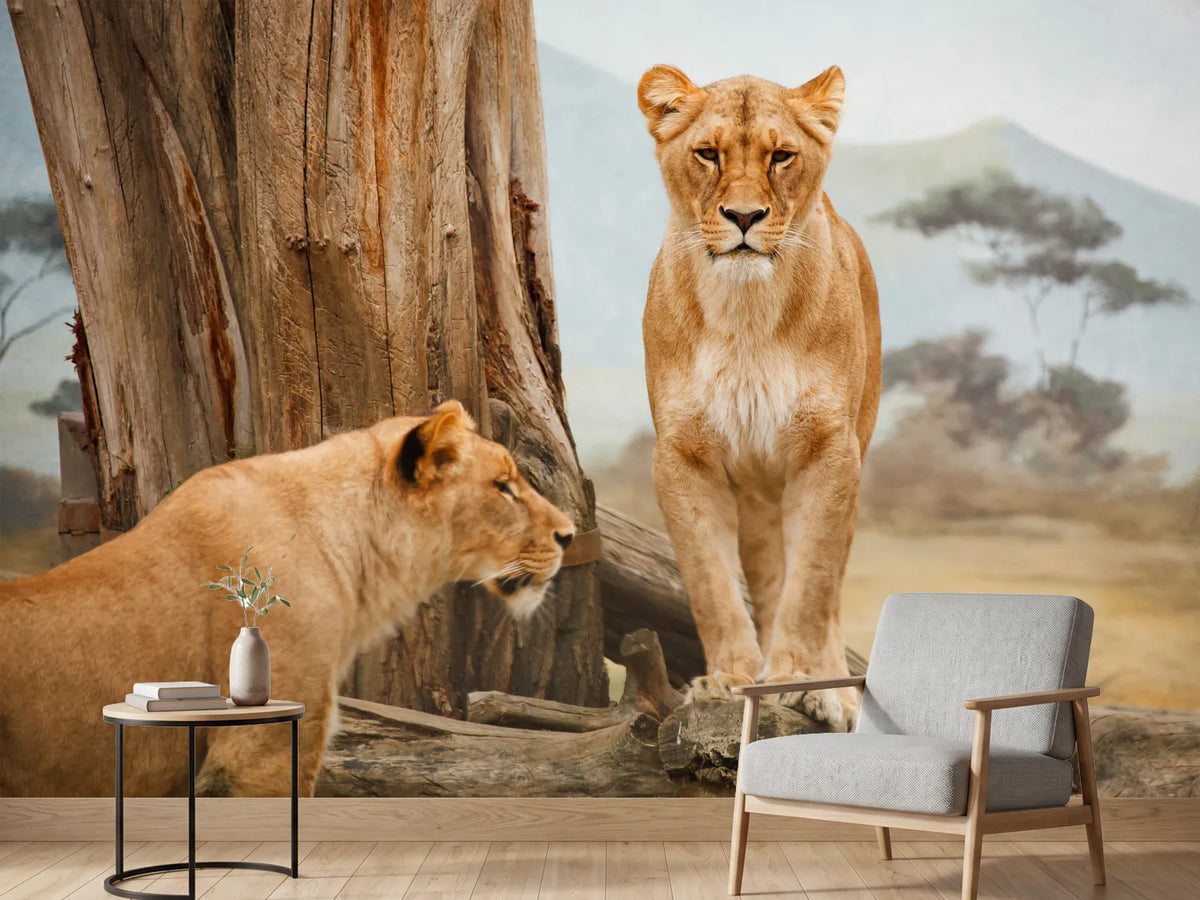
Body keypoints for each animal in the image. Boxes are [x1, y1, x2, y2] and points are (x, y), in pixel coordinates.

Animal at [637, 65, 881, 730]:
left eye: (781, 156)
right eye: (707, 153)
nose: (744, 216)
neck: (745, 311)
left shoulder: (830, 451)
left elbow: (812, 586)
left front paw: (801, 682)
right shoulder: (682, 456)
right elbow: (711, 583)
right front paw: (729, 681)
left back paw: (835, 693)